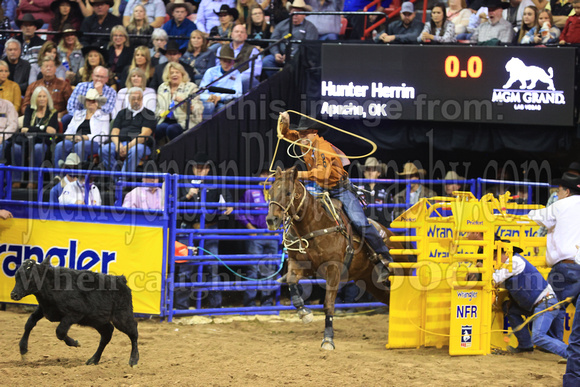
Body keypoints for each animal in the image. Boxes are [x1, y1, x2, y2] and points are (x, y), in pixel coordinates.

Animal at [268, 167, 408, 352]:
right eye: (270, 191)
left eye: (288, 192)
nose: (271, 220)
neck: (315, 225)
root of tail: (394, 238)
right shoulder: (300, 265)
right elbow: (291, 281)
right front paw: (304, 313)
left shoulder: (333, 270)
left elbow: (328, 303)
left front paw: (328, 339)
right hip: (372, 283)